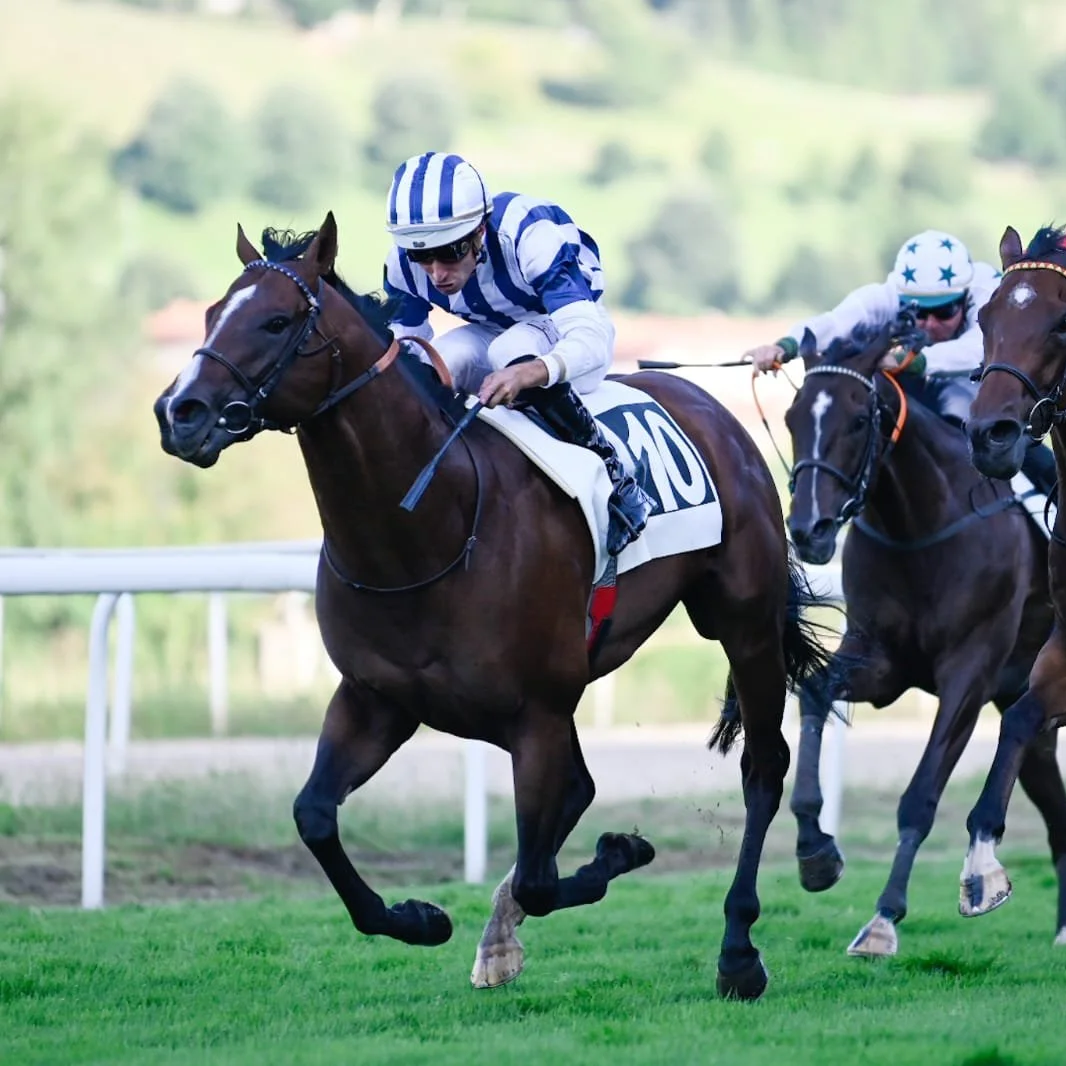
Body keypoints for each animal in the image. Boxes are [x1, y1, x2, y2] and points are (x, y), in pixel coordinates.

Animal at [152, 213, 828, 1000]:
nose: (179, 412)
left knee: (762, 767)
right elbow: (314, 816)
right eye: (209, 315)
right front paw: (421, 917)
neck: (426, 530)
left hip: (742, 625)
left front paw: (620, 852)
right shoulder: (378, 699)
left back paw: (738, 950)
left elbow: (541, 874)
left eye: (276, 320)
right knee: (579, 793)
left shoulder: (537, 712)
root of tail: (712, 408)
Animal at [783, 324, 1066, 954]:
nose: (809, 530)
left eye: (857, 420)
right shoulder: (878, 659)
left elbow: (921, 794)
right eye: (792, 418)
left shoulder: (970, 672)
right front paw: (816, 849)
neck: (920, 525)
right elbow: (814, 693)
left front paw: (883, 919)